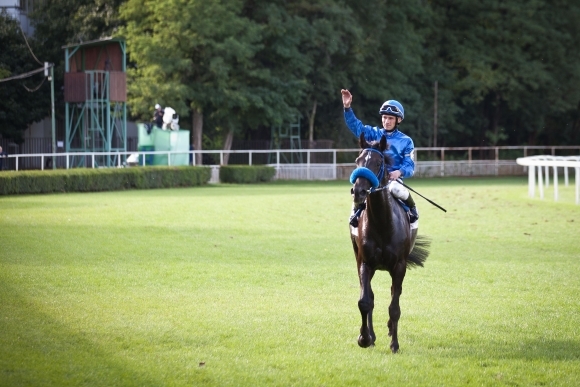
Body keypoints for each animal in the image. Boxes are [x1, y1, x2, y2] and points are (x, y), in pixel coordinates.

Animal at [348, 133, 430, 354]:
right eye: (357, 160)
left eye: (379, 162)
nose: (358, 191)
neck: (382, 224)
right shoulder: (365, 262)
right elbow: (365, 301)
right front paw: (364, 338)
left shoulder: (399, 265)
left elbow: (394, 307)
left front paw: (394, 343)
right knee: (371, 297)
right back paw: (373, 335)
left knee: (395, 293)